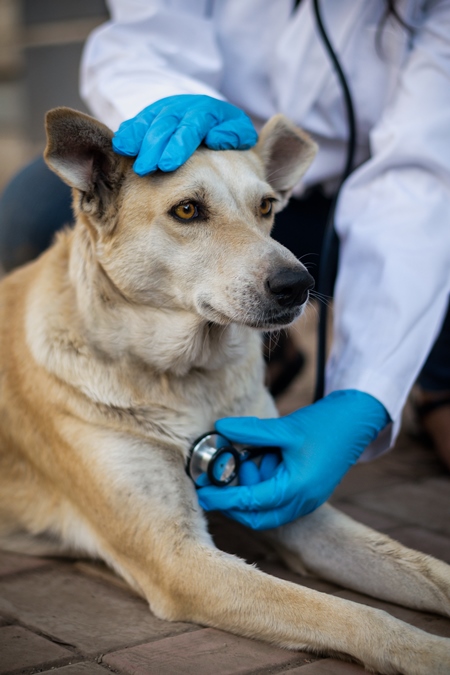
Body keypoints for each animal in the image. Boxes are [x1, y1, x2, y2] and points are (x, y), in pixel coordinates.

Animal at [0, 108, 450, 672]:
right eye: (188, 210)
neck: (189, 379)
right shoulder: (179, 558)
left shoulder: (295, 504)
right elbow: (351, 614)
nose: (298, 285)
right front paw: (431, 651)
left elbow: (428, 571)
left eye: (267, 206)